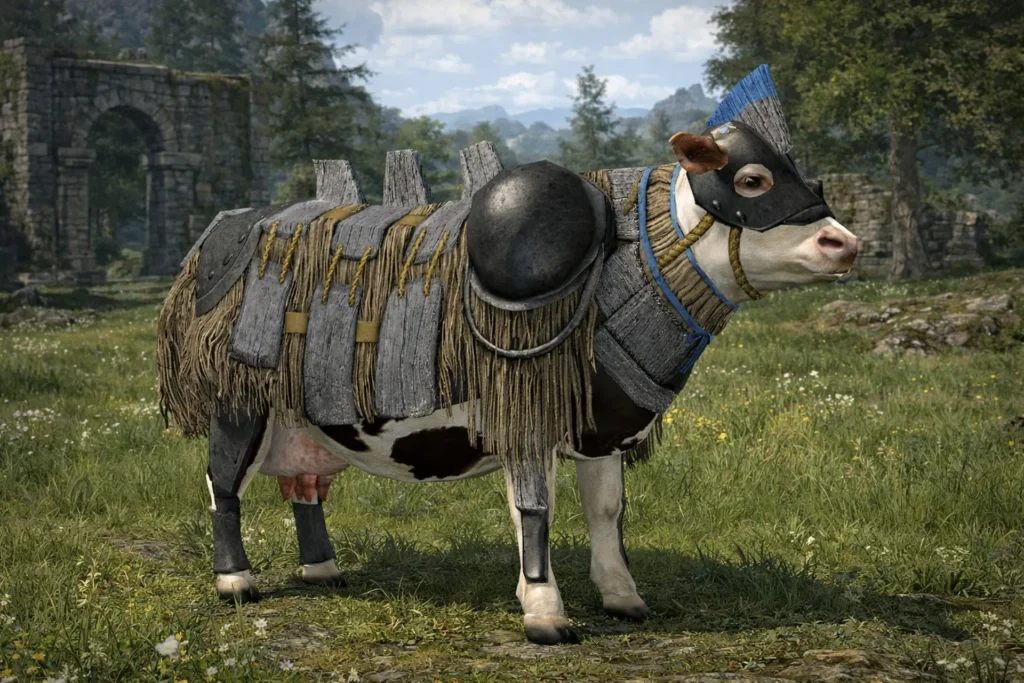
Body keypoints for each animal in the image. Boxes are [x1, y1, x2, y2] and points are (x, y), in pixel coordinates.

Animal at [157, 65, 858, 645]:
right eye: (751, 179)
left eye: (806, 175)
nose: (843, 243)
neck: (617, 271)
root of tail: (217, 234)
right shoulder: (526, 415)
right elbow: (534, 511)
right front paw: (545, 614)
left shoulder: (600, 426)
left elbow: (607, 511)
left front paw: (623, 599)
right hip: (239, 403)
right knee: (222, 484)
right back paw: (235, 582)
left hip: (304, 422)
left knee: (305, 487)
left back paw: (323, 571)